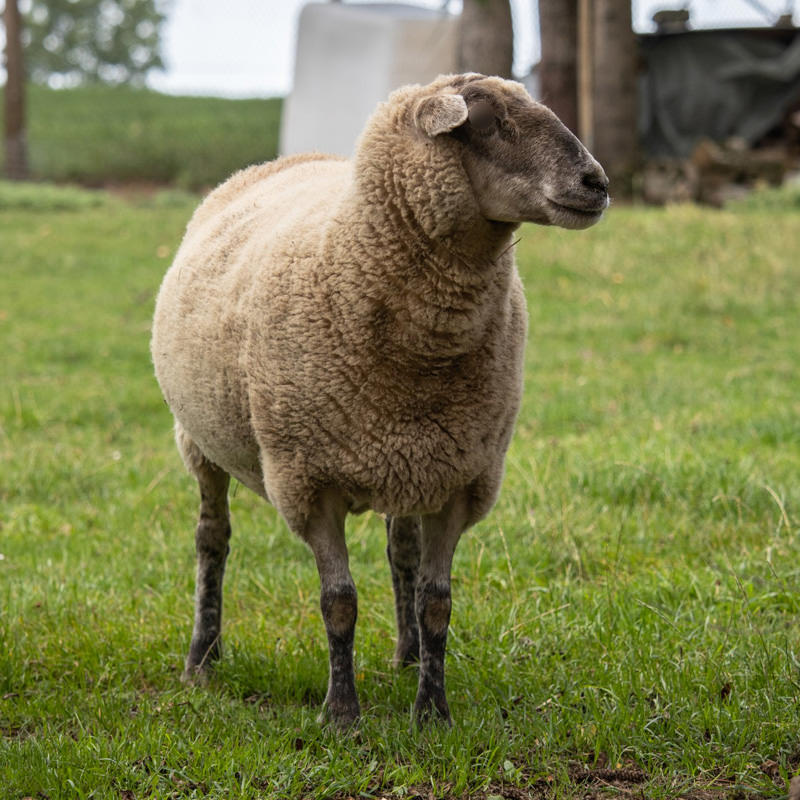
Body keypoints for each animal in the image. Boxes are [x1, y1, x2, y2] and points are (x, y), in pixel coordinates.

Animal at [150, 73, 608, 727]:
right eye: (485, 121)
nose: (597, 183)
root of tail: (287, 159)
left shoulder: (459, 478)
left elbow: (437, 602)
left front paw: (432, 712)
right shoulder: (307, 482)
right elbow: (338, 602)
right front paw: (342, 714)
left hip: (408, 460)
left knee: (401, 552)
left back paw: (408, 655)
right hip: (198, 440)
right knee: (212, 540)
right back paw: (202, 659)